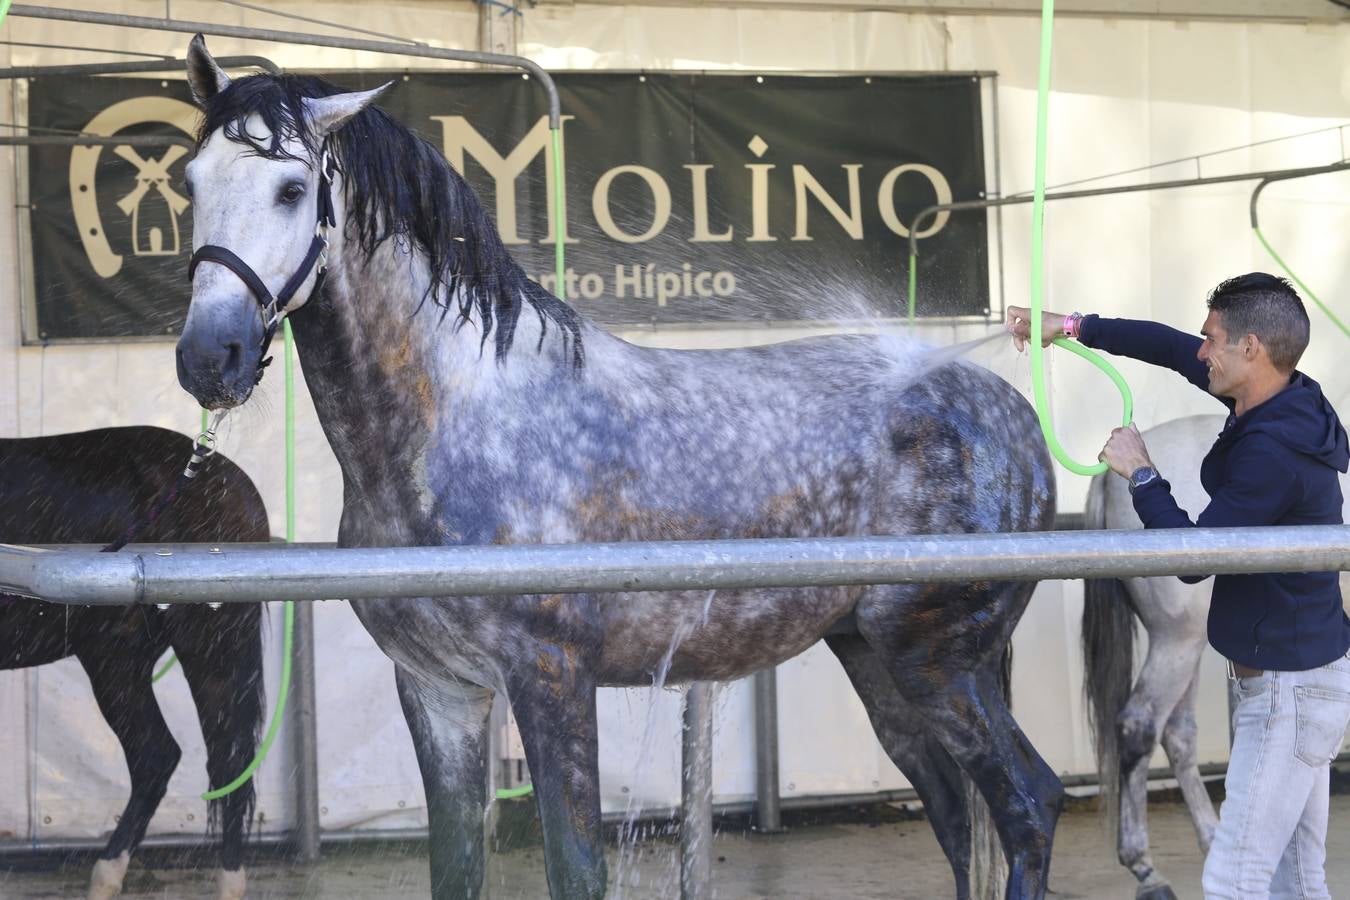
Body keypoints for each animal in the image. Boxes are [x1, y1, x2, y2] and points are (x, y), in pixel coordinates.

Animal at [174, 38, 1063, 900]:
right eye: (190, 181)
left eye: (292, 188)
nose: (209, 357)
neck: (462, 418)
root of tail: (1013, 416)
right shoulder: (439, 690)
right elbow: (455, 868)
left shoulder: (553, 680)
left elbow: (577, 868)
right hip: (876, 662)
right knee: (958, 819)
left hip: (940, 664)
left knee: (1028, 803)